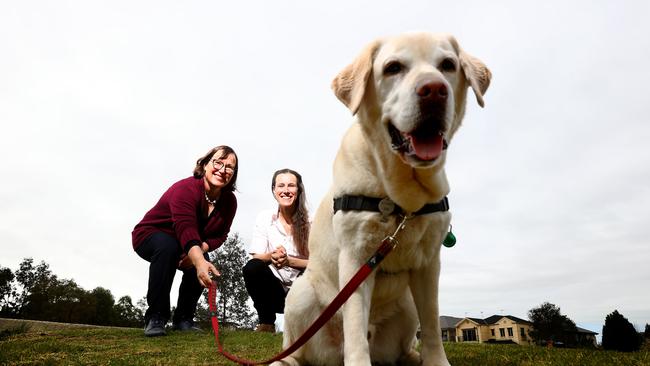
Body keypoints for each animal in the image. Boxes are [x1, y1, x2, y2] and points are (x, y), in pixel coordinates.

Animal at [270, 32, 488, 366]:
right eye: (393, 67)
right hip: (301, 295)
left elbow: (433, 323)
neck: (402, 197)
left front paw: (436, 361)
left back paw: (412, 357)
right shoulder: (356, 256)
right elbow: (355, 329)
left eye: (448, 65)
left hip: (407, 305)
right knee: (297, 349)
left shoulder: (429, 263)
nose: (434, 90)